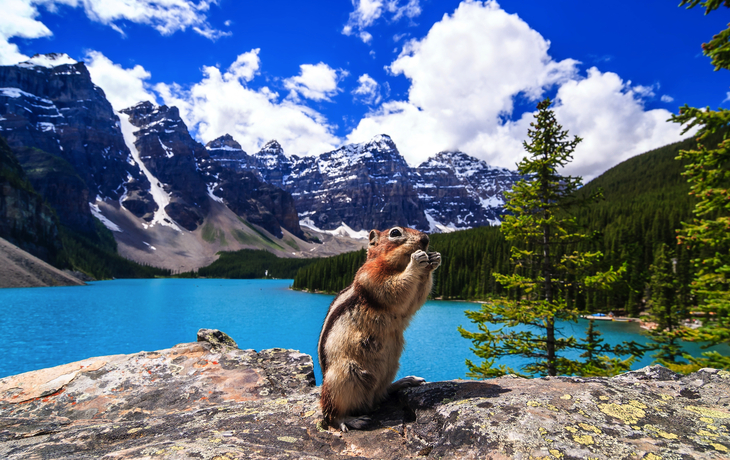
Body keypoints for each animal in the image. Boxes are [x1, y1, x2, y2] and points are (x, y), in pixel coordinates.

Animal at [317, 226, 441, 431]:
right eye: (395, 232)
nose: (425, 239)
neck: (395, 265)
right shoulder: (371, 275)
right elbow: (394, 288)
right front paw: (417, 261)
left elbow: (414, 301)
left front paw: (434, 259)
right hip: (342, 376)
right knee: (331, 413)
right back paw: (350, 420)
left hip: (391, 367)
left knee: (381, 394)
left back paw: (405, 381)